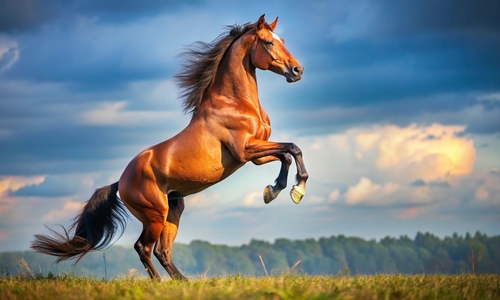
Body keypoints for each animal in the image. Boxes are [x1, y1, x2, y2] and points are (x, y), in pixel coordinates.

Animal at [32, 14, 308, 282]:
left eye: (282, 39)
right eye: (269, 42)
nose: (298, 70)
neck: (235, 103)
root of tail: (120, 182)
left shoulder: (255, 155)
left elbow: (287, 153)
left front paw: (277, 190)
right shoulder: (245, 150)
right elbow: (293, 148)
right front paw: (294, 190)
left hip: (174, 210)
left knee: (162, 250)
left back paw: (182, 281)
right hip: (155, 213)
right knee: (144, 248)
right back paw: (159, 283)